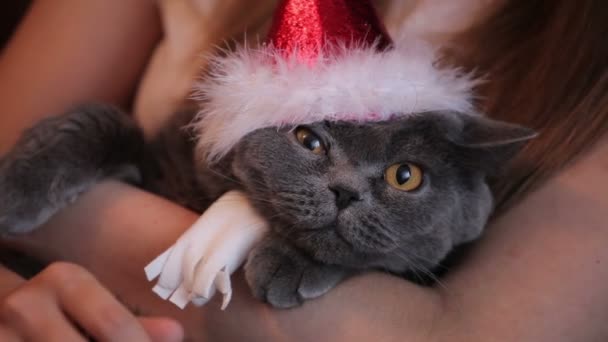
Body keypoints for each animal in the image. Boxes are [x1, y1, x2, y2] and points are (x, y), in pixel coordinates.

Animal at [0, 103, 532, 308]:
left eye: (406, 176)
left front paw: (289, 264)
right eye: (308, 138)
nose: (345, 192)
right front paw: (17, 188)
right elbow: (102, 119)